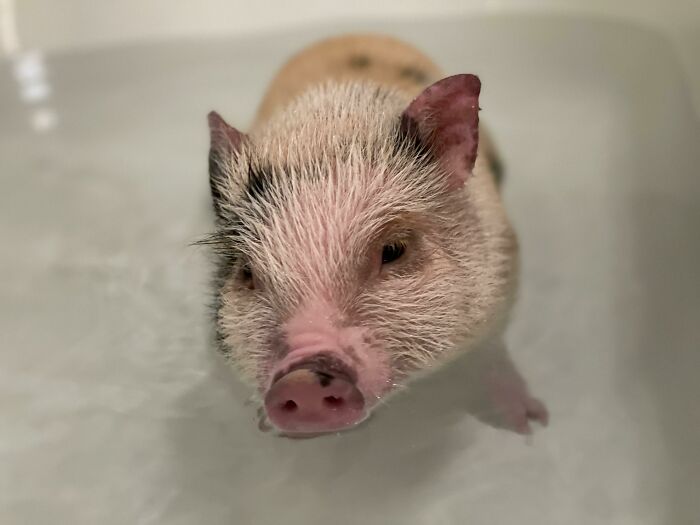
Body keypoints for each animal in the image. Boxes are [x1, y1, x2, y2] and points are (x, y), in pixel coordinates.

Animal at [203, 34, 548, 437]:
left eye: (393, 250)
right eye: (246, 272)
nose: (301, 381)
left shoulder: (501, 276)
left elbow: (492, 352)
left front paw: (530, 425)